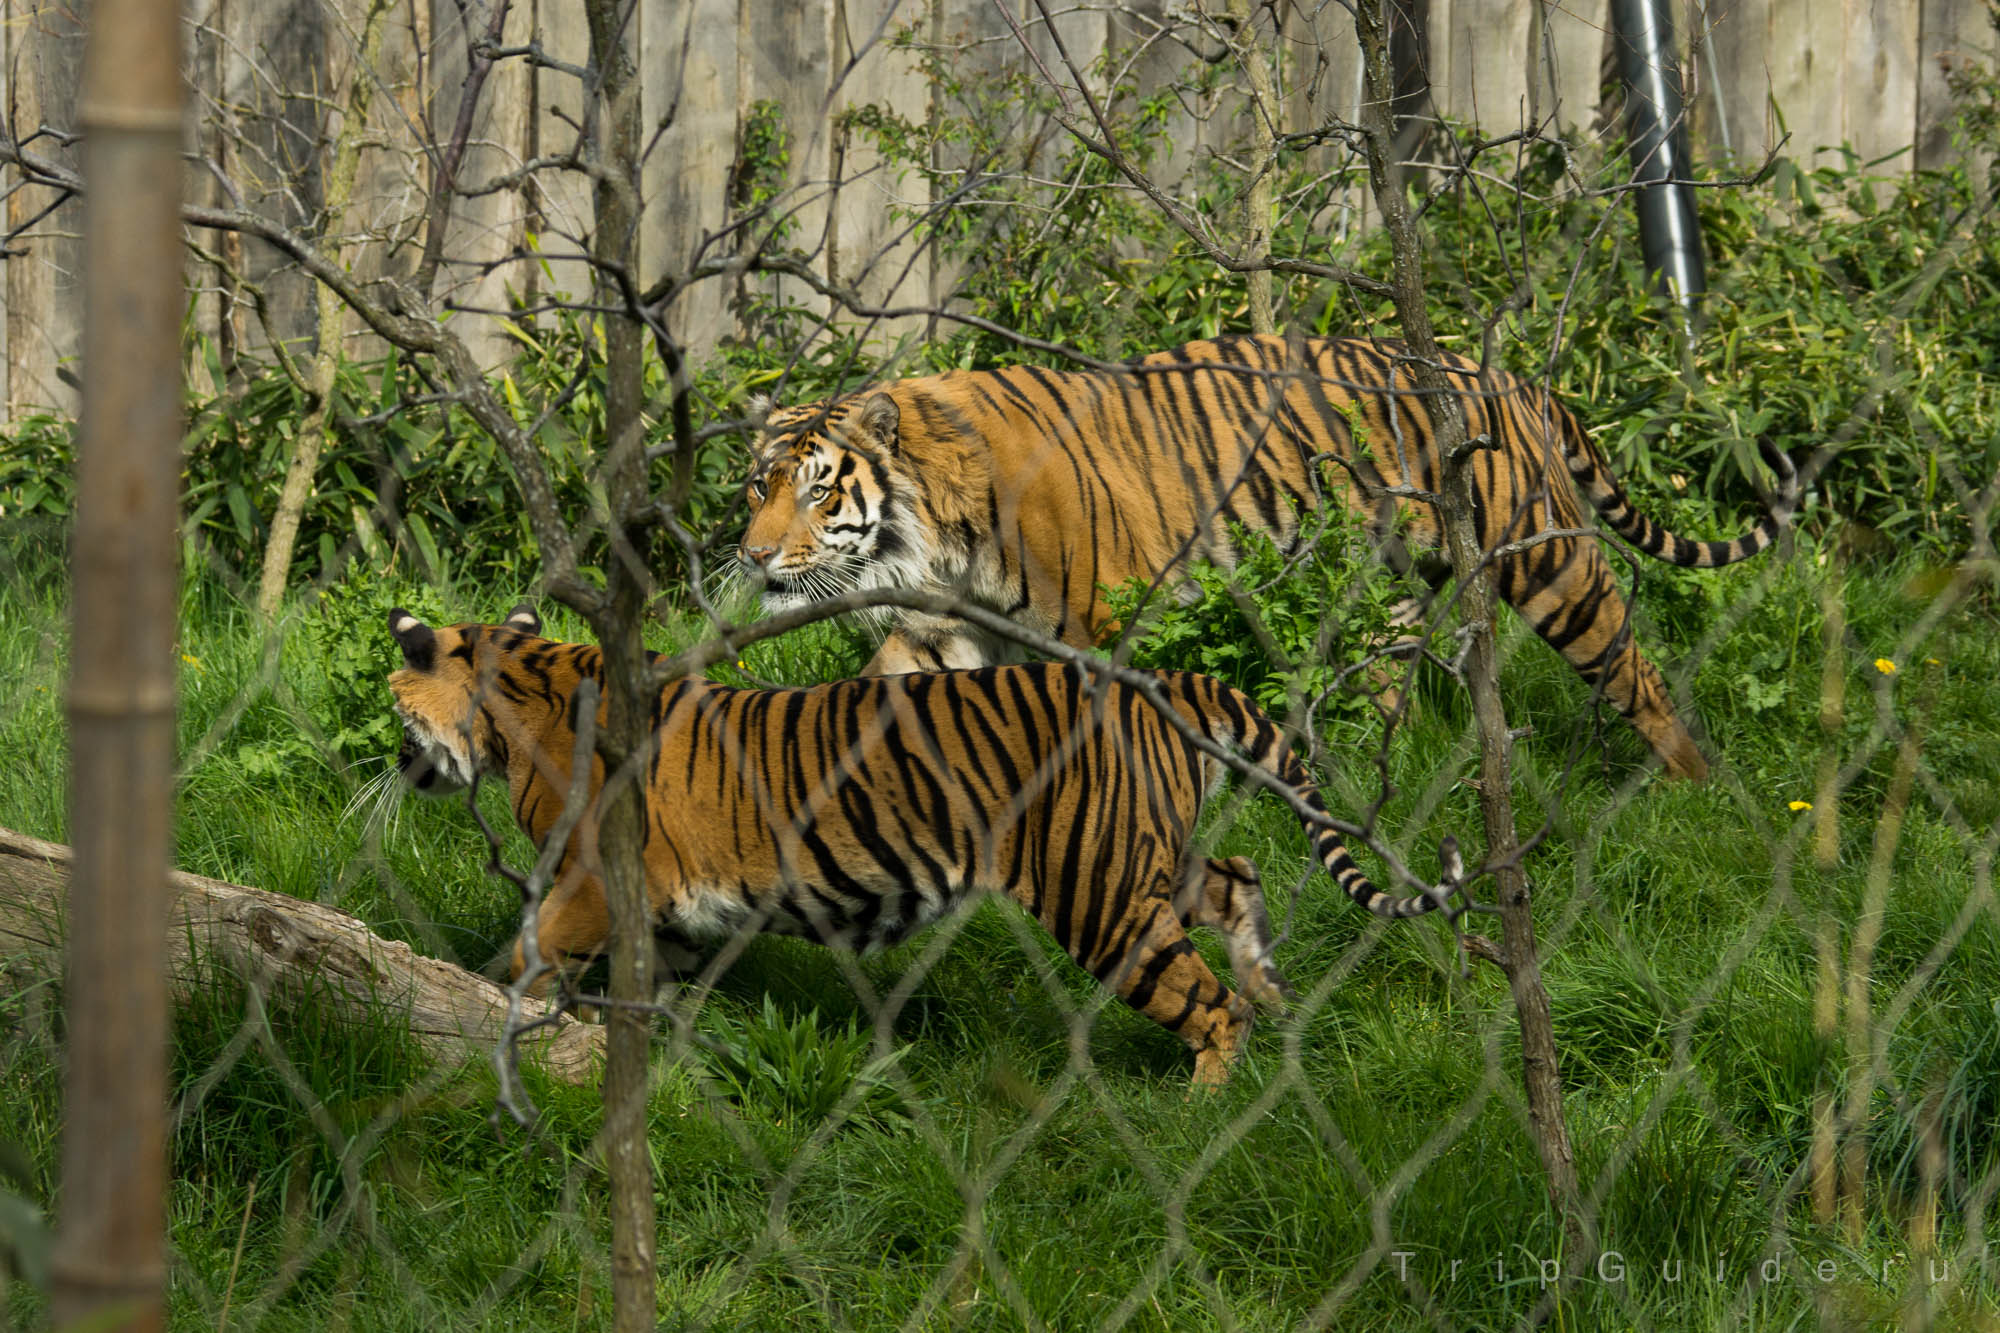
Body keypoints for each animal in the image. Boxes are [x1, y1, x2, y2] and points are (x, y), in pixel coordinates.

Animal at [386, 604, 1460, 1086]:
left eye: (396, 709)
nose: (394, 763)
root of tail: (1168, 685)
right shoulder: (664, 907)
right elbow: (652, 983)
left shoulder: (592, 880)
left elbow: (530, 954)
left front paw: (490, 1004)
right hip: (1143, 865)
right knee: (1238, 880)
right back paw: (1274, 992)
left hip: (1100, 895)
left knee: (1206, 1004)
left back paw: (1204, 1104)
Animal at [736, 334, 1800, 781]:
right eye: (758, 486)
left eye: (819, 489)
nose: (751, 557)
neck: (930, 539)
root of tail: (1512, 377)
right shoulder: (940, 633)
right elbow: (865, 699)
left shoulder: (1112, 620)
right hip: (1394, 587)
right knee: (1391, 685)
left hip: (1552, 569)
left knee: (1639, 673)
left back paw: (1696, 787)